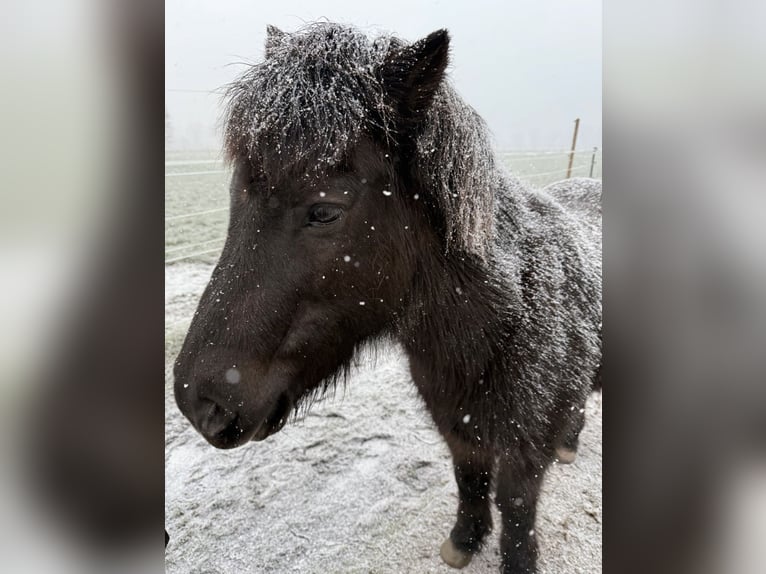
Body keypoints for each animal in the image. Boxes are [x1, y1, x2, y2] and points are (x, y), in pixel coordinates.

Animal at [173, 23, 601, 574]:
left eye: (325, 211)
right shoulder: (458, 427)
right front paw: (464, 541)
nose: (196, 401)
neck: (507, 320)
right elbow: (469, 478)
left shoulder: (524, 451)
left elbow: (516, 508)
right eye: (234, 196)